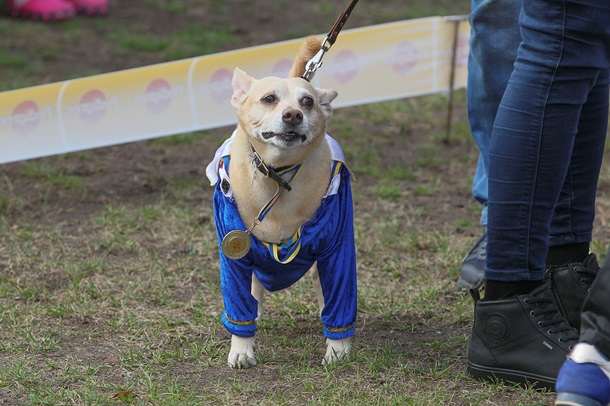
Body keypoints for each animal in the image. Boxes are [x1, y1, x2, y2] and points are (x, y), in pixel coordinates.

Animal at [205, 36, 356, 370]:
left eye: (307, 102)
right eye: (269, 98)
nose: (293, 115)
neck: (278, 177)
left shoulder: (337, 247)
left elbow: (339, 299)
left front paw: (338, 350)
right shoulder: (234, 255)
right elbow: (239, 305)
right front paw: (242, 350)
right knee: (255, 290)